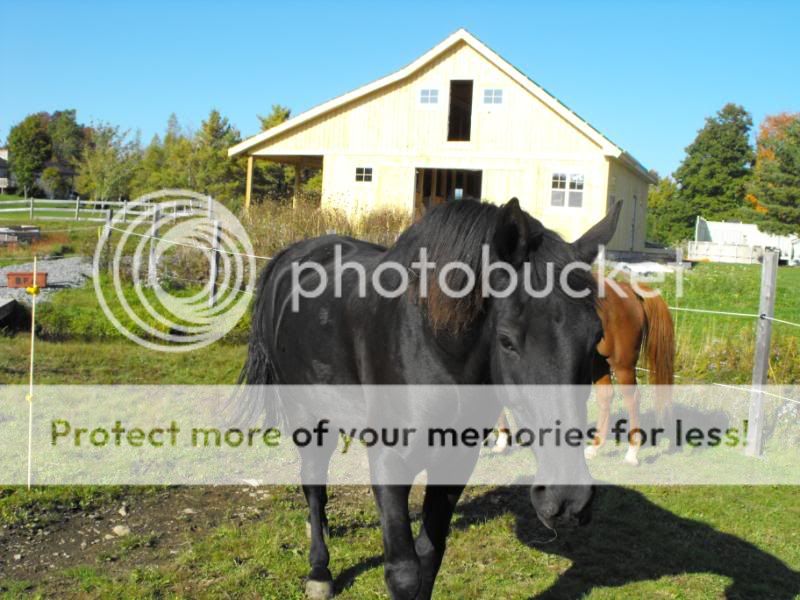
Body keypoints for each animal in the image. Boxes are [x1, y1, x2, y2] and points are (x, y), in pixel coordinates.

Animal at [241, 199, 620, 596]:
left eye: (596, 338)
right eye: (506, 340)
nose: (567, 499)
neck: (434, 349)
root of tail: (293, 255)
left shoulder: (455, 462)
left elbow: (430, 557)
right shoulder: (389, 462)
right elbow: (404, 571)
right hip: (309, 417)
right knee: (314, 484)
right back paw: (319, 571)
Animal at [494, 278, 676, 466]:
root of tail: (627, 288)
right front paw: (502, 441)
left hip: (621, 364)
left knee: (632, 399)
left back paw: (632, 453)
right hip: (599, 361)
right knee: (606, 396)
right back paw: (594, 448)